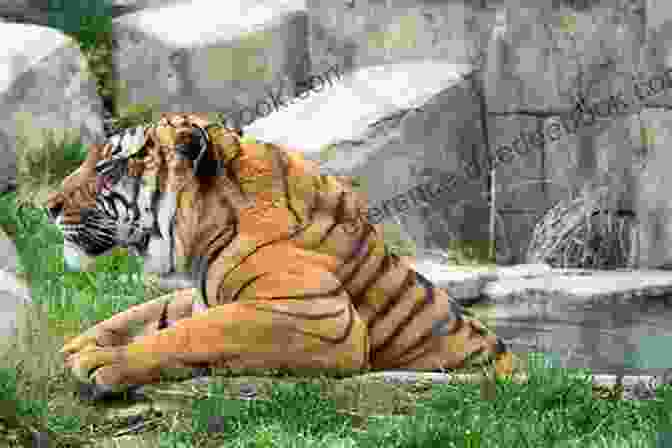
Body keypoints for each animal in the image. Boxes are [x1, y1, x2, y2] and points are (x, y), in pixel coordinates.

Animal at [47, 113, 516, 396]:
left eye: (107, 168)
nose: (47, 206)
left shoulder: (320, 316)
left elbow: (194, 333)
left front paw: (100, 361)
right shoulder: (201, 295)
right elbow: (140, 315)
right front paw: (75, 346)